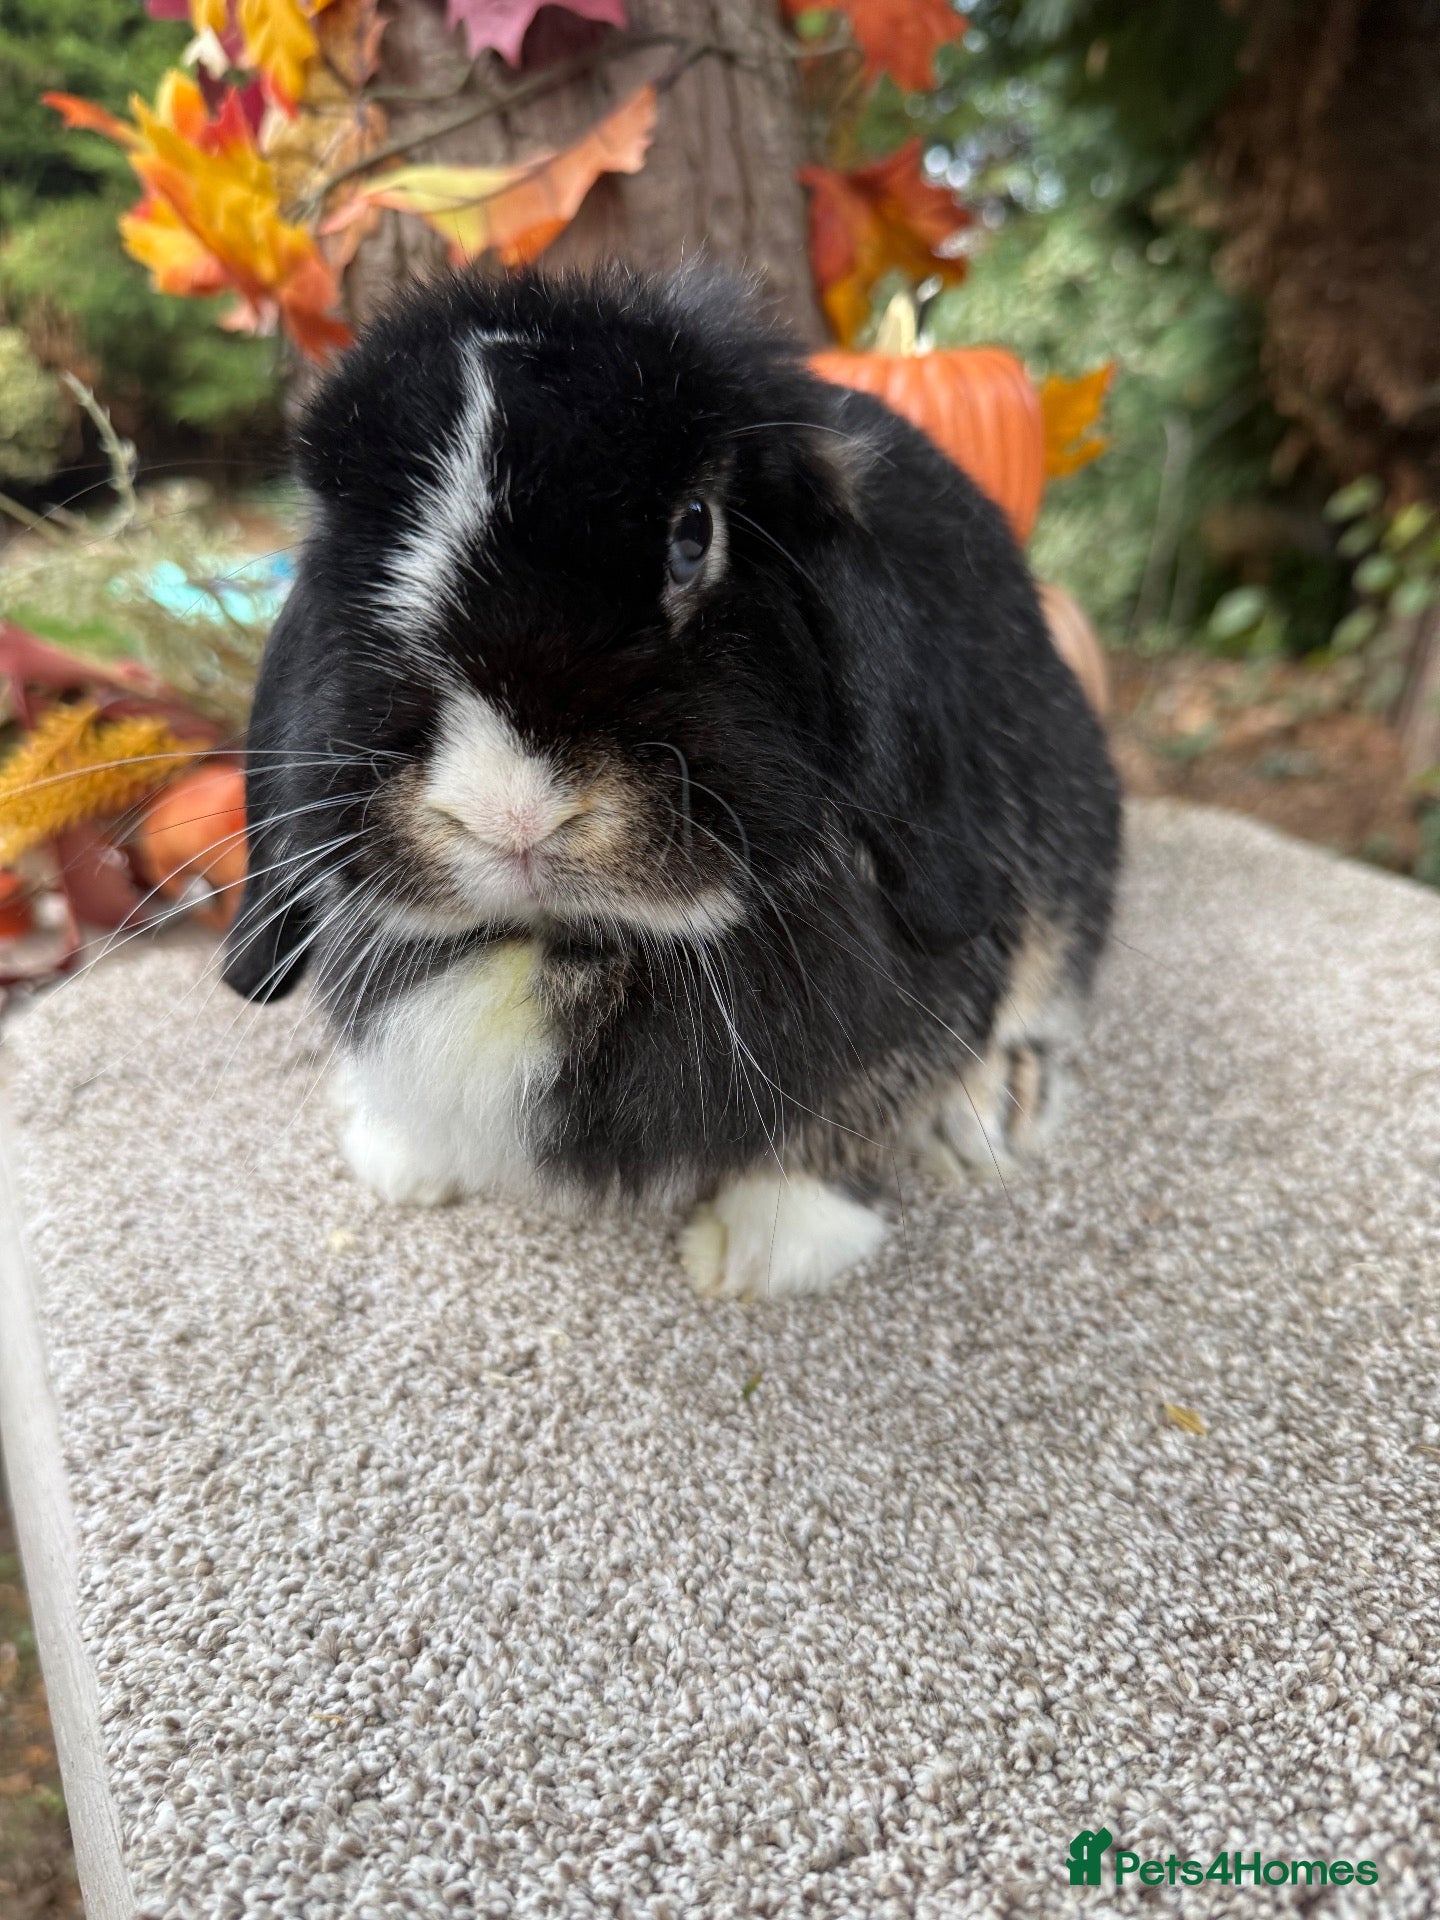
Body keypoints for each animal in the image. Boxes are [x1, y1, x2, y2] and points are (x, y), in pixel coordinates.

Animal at [223, 264, 1121, 1300]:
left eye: (695, 534)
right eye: (349, 559)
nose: (508, 810)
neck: (564, 952)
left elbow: (861, 1100)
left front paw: (764, 1247)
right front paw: (400, 1164)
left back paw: (989, 1121)